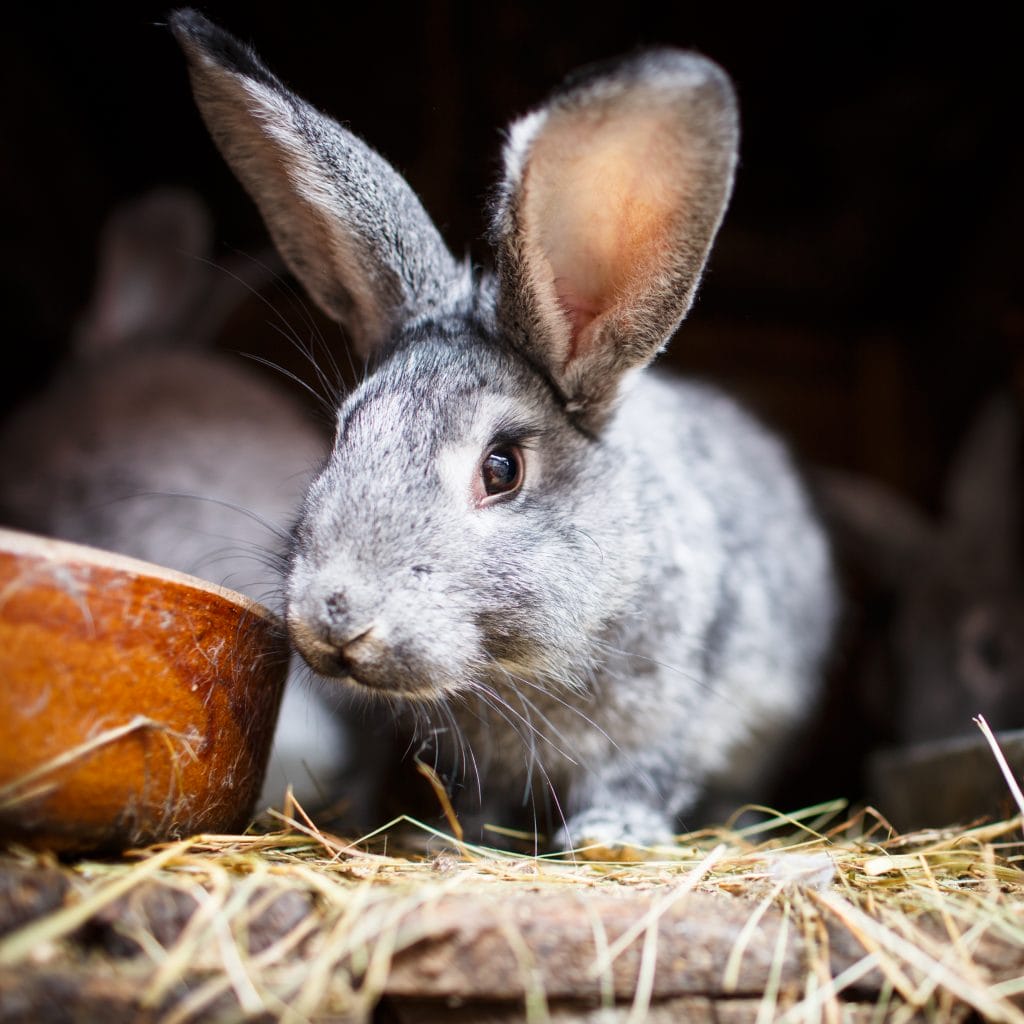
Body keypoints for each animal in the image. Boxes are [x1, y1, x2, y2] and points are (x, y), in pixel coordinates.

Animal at [172, 12, 835, 851]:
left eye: (502, 469)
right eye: (346, 431)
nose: (335, 615)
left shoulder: (671, 717)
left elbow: (640, 776)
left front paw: (610, 837)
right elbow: (478, 796)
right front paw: (445, 838)